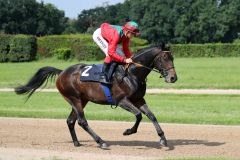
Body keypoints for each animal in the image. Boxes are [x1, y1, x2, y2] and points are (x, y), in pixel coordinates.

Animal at [14, 44, 176, 149]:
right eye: (163, 58)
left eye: (172, 58)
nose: (173, 78)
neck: (132, 73)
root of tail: (62, 72)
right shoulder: (122, 100)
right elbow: (138, 115)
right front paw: (128, 131)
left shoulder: (138, 99)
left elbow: (151, 115)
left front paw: (163, 139)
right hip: (74, 99)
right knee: (81, 121)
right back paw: (101, 141)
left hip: (81, 100)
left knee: (70, 121)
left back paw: (77, 143)